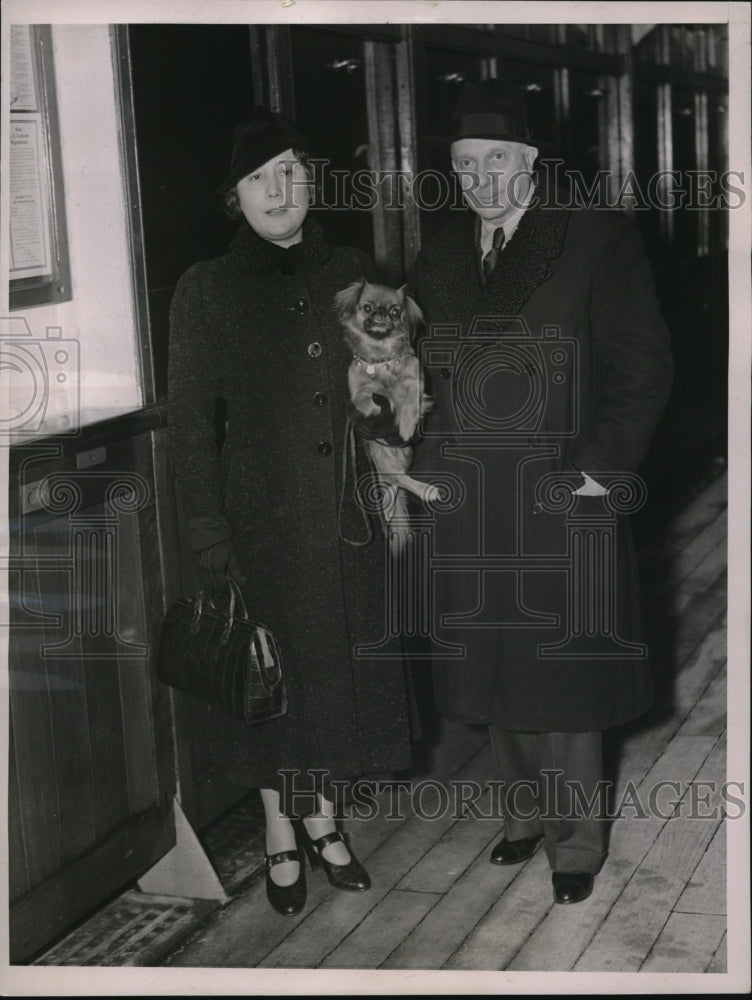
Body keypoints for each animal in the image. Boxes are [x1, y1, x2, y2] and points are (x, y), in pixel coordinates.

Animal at [334, 278, 440, 552]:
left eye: (394, 312)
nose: (381, 314)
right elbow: (366, 400)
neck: (380, 358)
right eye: (368, 308)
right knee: (397, 480)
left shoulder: (417, 380)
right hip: (380, 456)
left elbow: (410, 397)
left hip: (400, 455)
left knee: (400, 481)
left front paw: (406, 425)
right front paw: (381, 405)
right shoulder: (357, 393)